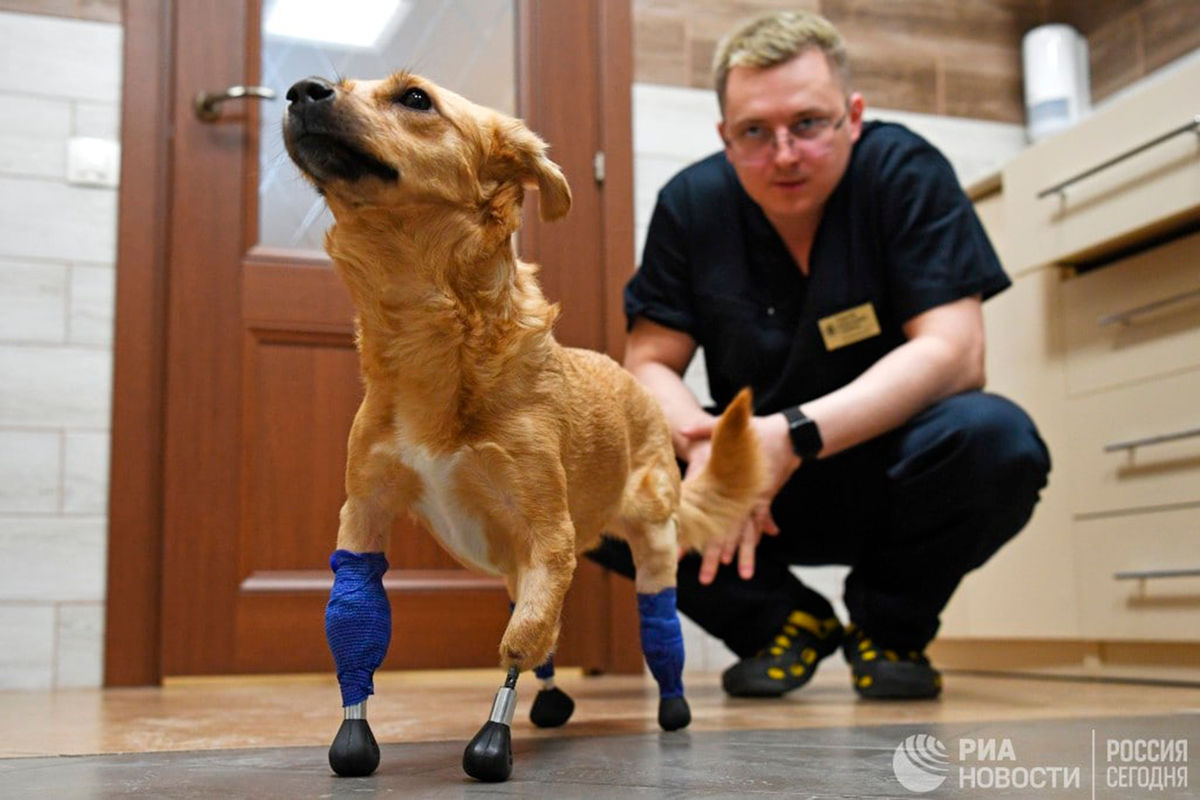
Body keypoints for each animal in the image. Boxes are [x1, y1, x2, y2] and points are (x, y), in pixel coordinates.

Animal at [283, 71, 758, 777]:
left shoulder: (548, 536)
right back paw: (554, 699)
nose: (299, 89)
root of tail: (635, 385)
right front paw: (354, 733)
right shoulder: (364, 518)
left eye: (415, 98)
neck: (427, 334)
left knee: (657, 628)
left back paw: (672, 706)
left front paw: (492, 737)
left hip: (652, 545)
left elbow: (520, 640)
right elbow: (354, 630)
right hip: (516, 561)